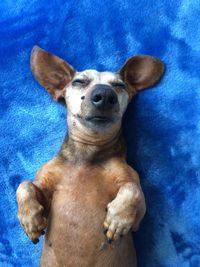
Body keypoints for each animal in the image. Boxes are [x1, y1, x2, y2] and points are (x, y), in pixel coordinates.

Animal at [16, 47, 164, 267]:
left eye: (119, 85)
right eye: (79, 81)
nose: (104, 94)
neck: (87, 157)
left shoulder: (138, 215)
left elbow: (132, 190)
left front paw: (117, 219)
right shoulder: (44, 190)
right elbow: (24, 185)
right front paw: (30, 219)